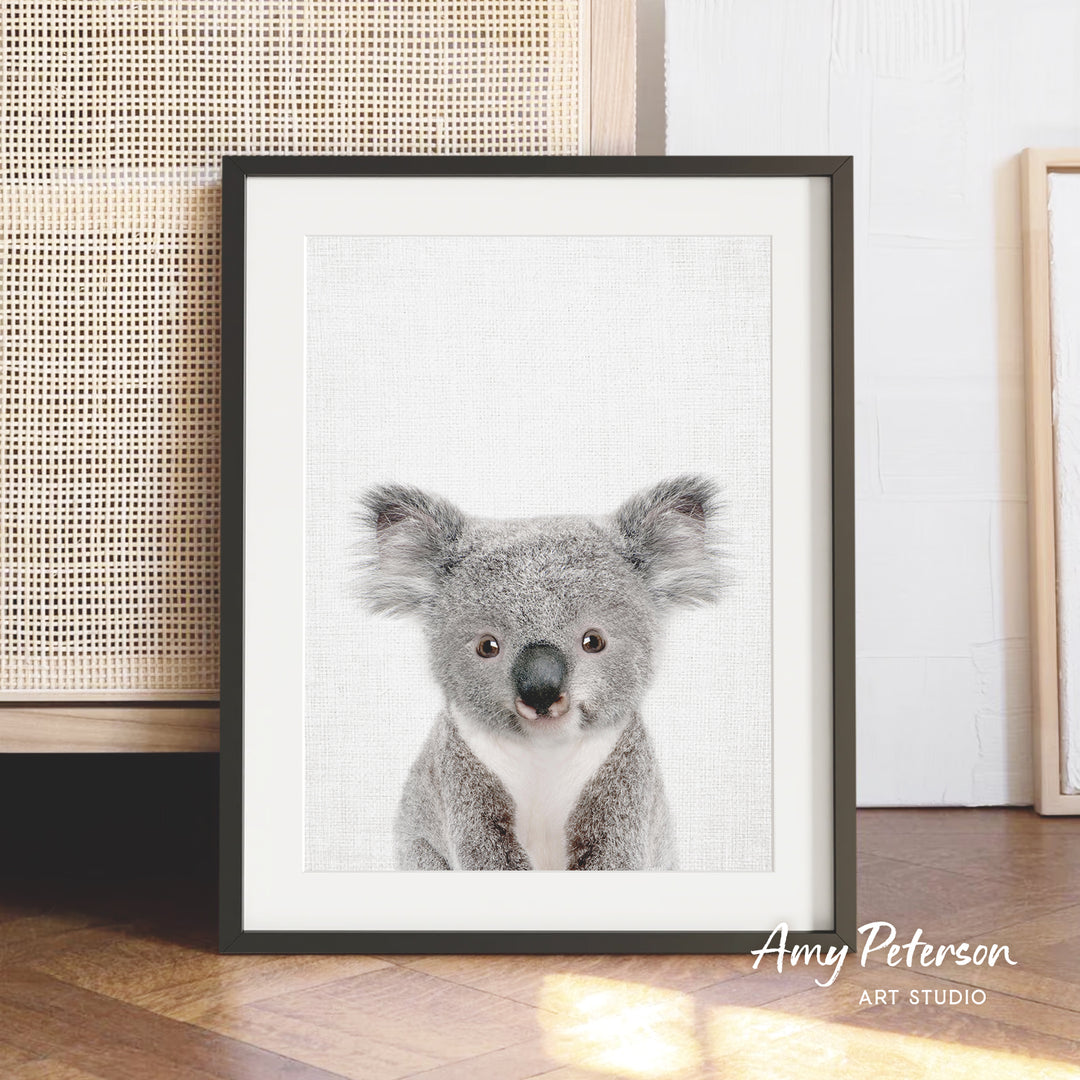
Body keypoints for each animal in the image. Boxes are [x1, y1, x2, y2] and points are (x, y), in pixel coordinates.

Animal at [357, 475, 723, 871]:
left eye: (593, 641)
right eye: (487, 646)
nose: (541, 692)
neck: (544, 752)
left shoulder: (624, 776)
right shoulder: (460, 776)